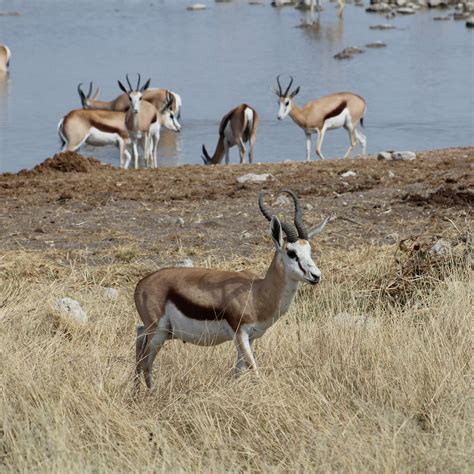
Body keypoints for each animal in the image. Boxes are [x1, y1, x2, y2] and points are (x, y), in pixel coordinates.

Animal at [133, 191, 334, 390]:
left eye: (309, 250)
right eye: (291, 253)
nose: (316, 276)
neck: (257, 292)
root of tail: (141, 283)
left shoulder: (250, 337)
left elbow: (239, 371)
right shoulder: (240, 334)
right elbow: (254, 370)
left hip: (162, 333)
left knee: (139, 339)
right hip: (157, 332)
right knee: (146, 362)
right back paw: (150, 393)